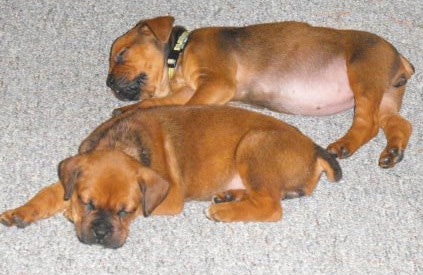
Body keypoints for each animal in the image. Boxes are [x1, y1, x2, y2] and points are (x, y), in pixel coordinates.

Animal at [0, 106, 342, 249]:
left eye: (126, 212)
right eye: (88, 204)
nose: (100, 233)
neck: (121, 144)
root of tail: (314, 148)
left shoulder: (169, 198)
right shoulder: (69, 179)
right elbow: (48, 194)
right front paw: (21, 213)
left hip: (254, 145)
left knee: (271, 207)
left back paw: (224, 211)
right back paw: (229, 197)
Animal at [107, 16, 416, 169]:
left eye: (121, 55)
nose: (109, 82)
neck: (179, 53)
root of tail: (401, 58)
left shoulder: (216, 83)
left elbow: (179, 107)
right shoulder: (190, 89)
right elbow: (154, 103)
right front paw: (127, 111)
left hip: (362, 78)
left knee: (368, 124)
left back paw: (345, 144)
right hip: (386, 97)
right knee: (399, 124)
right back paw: (393, 152)